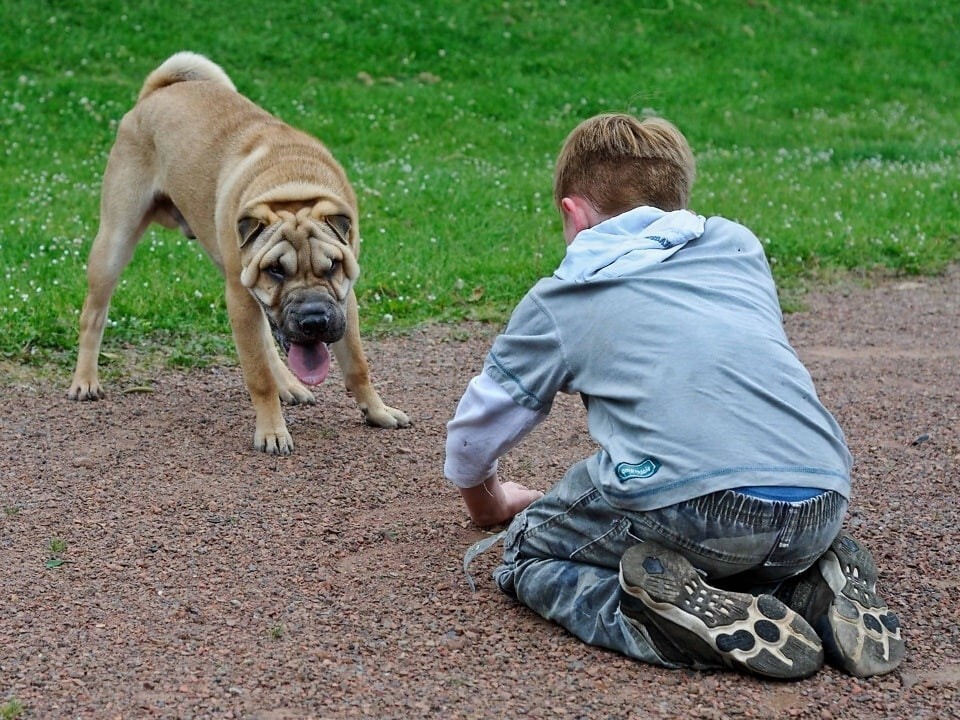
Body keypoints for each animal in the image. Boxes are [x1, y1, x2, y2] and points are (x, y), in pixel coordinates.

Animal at [69, 52, 408, 456]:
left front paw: (377, 410)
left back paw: (289, 385)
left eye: (332, 267)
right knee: (93, 314)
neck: (291, 187)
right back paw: (85, 379)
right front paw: (272, 431)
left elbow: (357, 364)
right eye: (276, 270)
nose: (313, 320)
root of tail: (156, 91)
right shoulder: (240, 297)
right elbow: (258, 375)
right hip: (115, 241)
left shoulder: (344, 300)